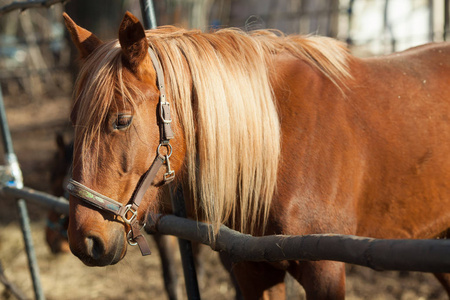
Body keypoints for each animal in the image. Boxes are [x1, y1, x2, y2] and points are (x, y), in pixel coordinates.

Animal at [62, 10, 450, 298]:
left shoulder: (324, 269)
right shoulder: (252, 268)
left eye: (122, 120)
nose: (84, 241)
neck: (280, 142)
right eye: (73, 118)